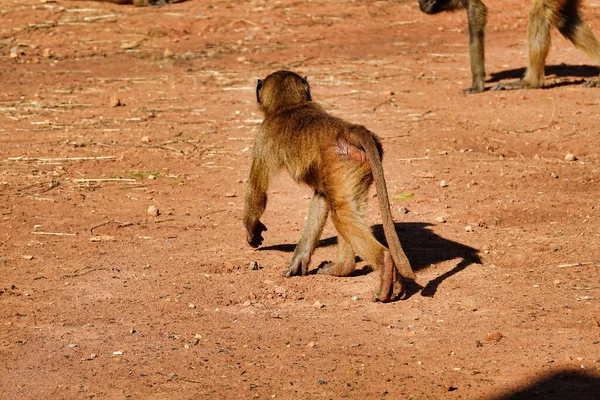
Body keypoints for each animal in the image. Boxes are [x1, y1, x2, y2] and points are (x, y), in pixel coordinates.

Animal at [243, 70, 418, 302]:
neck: (290, 105)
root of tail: (348, 129)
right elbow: (321, 197)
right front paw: (299, 259)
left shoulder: (263, 136)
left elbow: (258, 190)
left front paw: (252, 231)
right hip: (354, 167)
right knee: (346, 209)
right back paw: (346, 269)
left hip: (342, 163)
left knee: (341, 214)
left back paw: (383, 262)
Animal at [420, 0, 600, 91]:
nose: (425, 2)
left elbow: (477, 11)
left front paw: (477, 85)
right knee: (565, 19)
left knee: (540, 13)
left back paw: (531, 82)